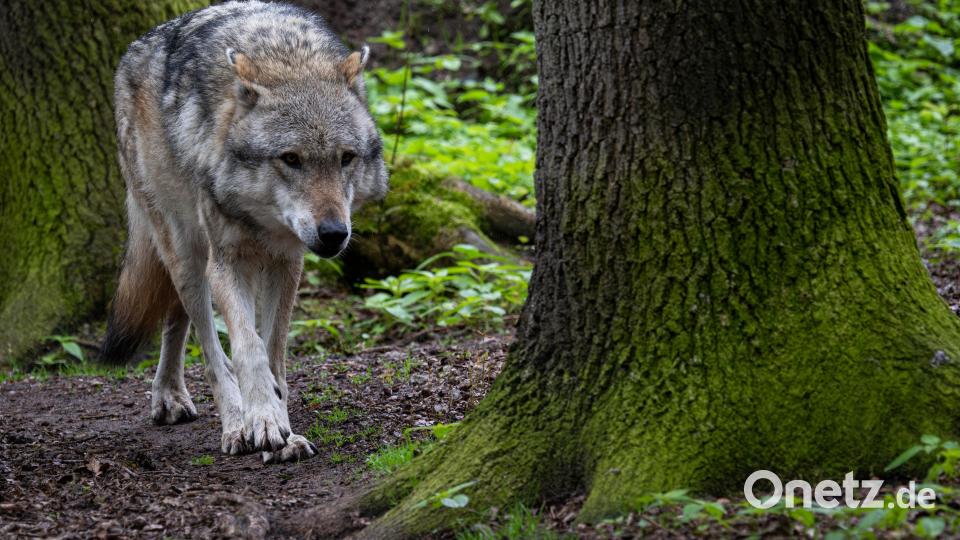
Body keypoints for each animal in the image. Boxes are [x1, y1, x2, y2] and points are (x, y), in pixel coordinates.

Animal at [101, 1, 388, 463]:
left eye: (346, 158)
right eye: (290, 158)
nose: (333, 233)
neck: (285, 57)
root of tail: (134, 49)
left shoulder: (287, 263)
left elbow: (273, 353)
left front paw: (283, 428)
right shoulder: (228, 263)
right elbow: (247, 350)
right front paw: (263, 422)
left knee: (176, 320)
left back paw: (173, 395)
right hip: (187, 254)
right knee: (208, 345)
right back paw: (231, 424)